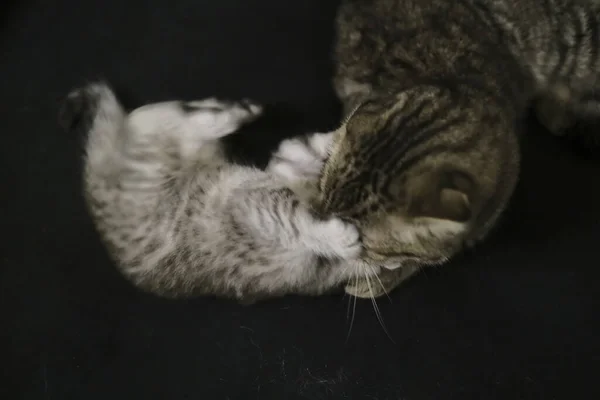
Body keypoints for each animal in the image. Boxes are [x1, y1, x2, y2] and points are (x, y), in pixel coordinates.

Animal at [59, 83, 376, 304]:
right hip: (151, 146)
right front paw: (336, 235)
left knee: (168, 115)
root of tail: (95, 169)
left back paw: (224, 110)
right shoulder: (256, 199)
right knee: (159, 114)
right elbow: (295, 216)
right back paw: (235, 111)